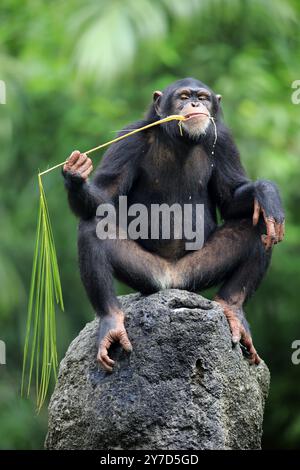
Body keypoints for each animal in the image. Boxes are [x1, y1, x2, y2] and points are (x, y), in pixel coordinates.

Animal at [62, 77, 284, 370]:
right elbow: (105, 196)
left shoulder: (224, 141)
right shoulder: (128, 139)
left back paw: (233, 309)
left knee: (259, 226)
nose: (195, 104)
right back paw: (111, 321)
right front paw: (76, 175)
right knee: (92, 225)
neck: (180, 140)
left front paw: (266, 192)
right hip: (148, 275)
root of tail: (173, 281)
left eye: (203, 97)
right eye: (184, 97)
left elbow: (231, 197)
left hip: (197, 273)